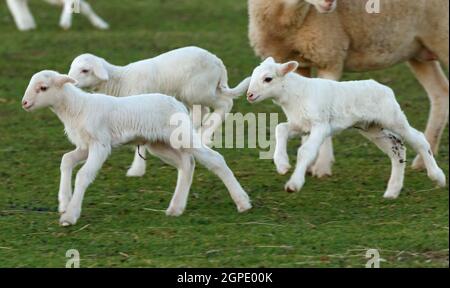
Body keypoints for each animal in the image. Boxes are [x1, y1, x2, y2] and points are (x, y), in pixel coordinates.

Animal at [22, 70, 253, 227]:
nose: (24, 103)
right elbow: (66, 160)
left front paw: (70, 215)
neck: (77, 108)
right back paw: (175, 208)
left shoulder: (100, 144)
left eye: (43, 88)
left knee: (214, 159)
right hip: (160, 144)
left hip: (182, 135)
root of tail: (179, 104)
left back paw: (242, 202)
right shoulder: (85, 145)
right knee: (187, 164)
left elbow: (83, 175)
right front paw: (64, 202)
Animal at [67, 46, 250, 178]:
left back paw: (204, 135)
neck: (120, 81)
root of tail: (218, 62)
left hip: (199, 90)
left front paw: (137, 169)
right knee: (201, 111)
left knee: (225, 103)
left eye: (85, 70)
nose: (69, 82)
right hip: (194, 93)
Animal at [246, 58, 446, 198]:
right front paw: (282, 164)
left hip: (392, 117)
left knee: (418, 139)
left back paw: (437, 176)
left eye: (268, 79)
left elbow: (306, 151)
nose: (249, 95)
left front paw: (294, 184)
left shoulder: (321, 125)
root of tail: (384, 88)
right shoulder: (299, 125)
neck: (295, 95)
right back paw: (392, 191)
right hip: (372, 127)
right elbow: (280, 128)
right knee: (397, 147)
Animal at [248, 0, 448, 177]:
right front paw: (306, 165)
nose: (329, 3)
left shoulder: (330, 56)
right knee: (440, 92)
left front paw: (321, 167)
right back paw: (423, 161)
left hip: (441, 37)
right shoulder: (300, 62)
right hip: (418, 50)